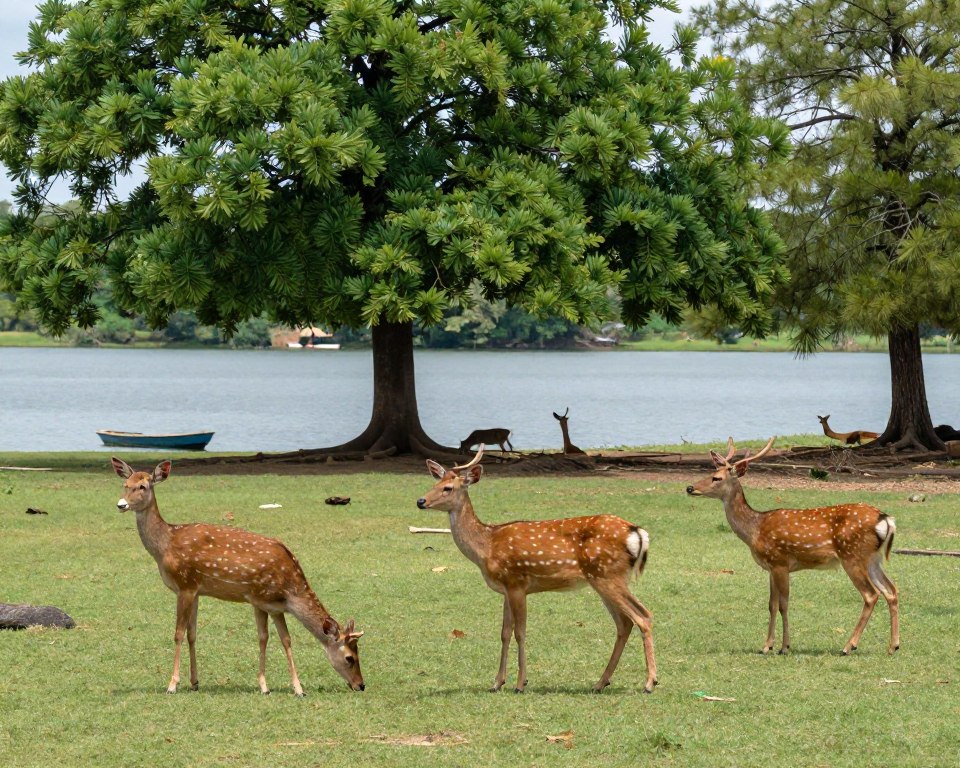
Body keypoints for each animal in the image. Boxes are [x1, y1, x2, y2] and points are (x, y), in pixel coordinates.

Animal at [111, 457, 365, 695]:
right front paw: (177, 684)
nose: (360, 685)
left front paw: (292, 688)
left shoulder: (211, 592)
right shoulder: (194, 589)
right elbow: (185, 634)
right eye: (125, 485)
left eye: (143, 486)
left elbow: (278, 639)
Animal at [416, 445, 657, 694]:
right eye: (434, 483)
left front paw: (521, 683)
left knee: (643, 616)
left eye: (448, 488)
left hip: (607, 575)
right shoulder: (506, 589)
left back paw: (650, 682)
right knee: (624, 623)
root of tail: (637, 533)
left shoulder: (517, 583)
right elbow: (504, 633)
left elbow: (520, 633)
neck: (486, 546)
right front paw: (497, 682)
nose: (420, 501)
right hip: (604, 579)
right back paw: (600, 682)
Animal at [686, 437, 899, 656]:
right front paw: (767, 645)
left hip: (852, 555)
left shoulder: (780, 562)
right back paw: (893, 646)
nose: (690, 488)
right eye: (709, 473)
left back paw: (849, 646)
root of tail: (886, 520)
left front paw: (784, 647)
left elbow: (783, 604)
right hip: (873, 559)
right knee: (891, 590)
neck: (755, 529)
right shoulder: (771, 567)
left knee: (871, 594)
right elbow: (771, 605)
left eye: (716, 478)